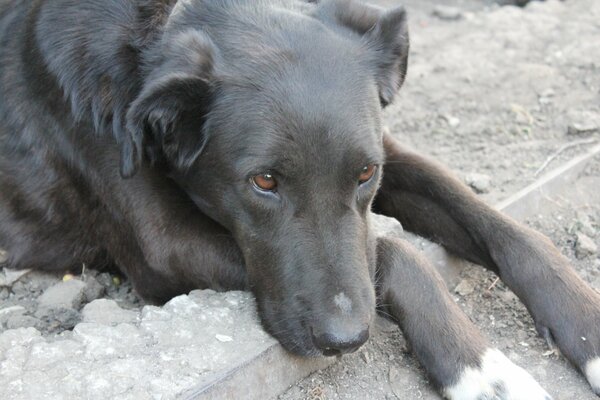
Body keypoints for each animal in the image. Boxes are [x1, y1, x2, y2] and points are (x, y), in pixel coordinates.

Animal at [1, 0, 600, 396]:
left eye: (365, 174)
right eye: (264, 182)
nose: (346, 340)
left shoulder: (386, 151)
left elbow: (510, 230)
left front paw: (588, 331)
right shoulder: (162, 247)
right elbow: (396, 253)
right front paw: (482, 371)